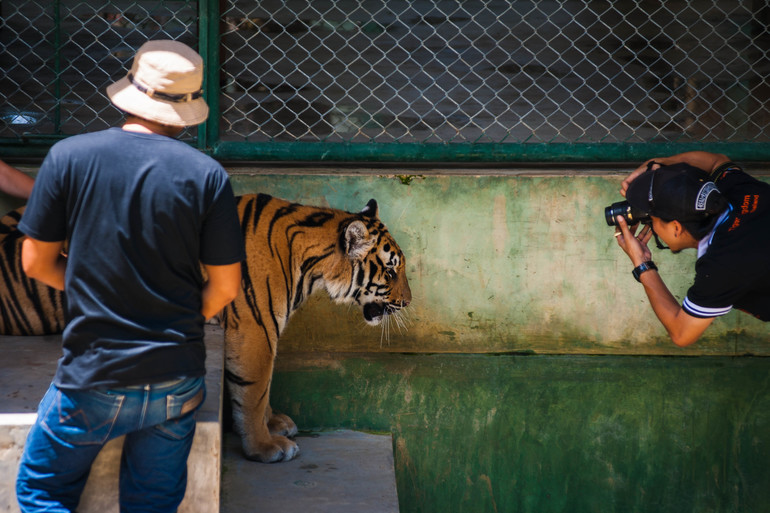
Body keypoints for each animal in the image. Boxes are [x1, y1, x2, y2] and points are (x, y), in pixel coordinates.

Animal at [0, 193, 411, 463]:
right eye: (391, 271)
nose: (409, 302)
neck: (311, 264)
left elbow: (262, 389)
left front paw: (275, 424)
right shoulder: (255, 330)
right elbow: (254, 389)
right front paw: (265, 447)